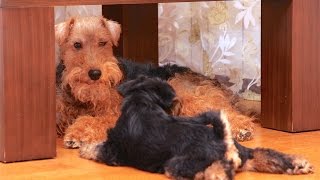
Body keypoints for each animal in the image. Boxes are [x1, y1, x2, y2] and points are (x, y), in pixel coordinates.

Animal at [79, 76, 312, 180]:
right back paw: (298, 164)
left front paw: (84, 149)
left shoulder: (113, 149)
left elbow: (97, 148)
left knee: (216, 169)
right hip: (245, 153)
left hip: (177, 164)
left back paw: (216, 175)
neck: (142, 101)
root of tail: (222, 139)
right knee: (264, 154)